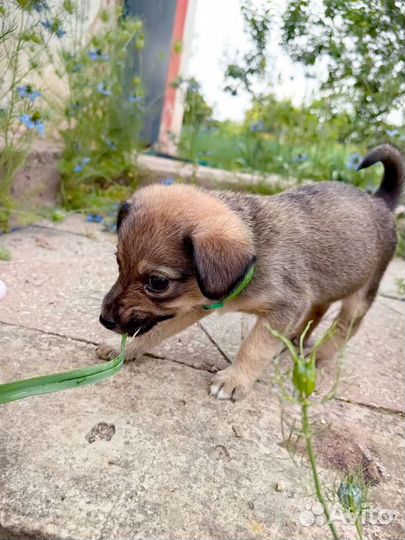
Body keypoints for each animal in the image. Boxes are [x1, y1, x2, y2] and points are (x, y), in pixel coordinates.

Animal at [98, 143, 404, 400]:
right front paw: (122, 349)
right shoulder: (194, 305)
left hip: (361, 294)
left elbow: (255, 348)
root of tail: (380, 201)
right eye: (118, 263)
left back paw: (318, 356)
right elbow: (155, 331)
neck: (255, 255)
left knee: (345, 327)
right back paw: (295, 339)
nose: (104, 321)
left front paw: (234, 379)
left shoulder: (284, 308)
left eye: (158, 282)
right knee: (318, 309)